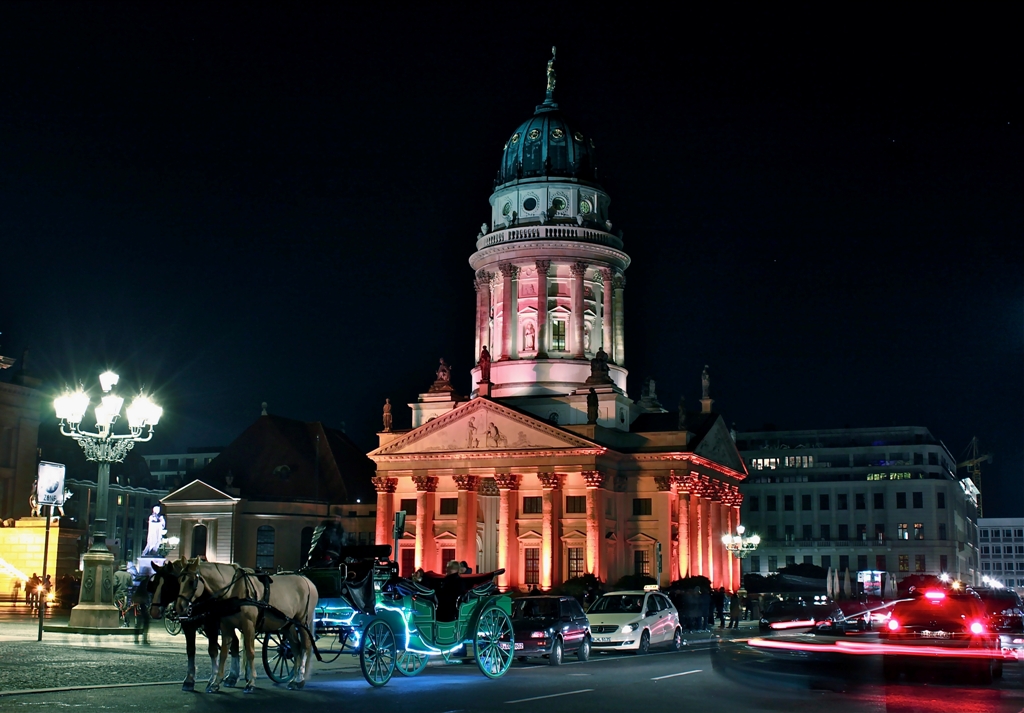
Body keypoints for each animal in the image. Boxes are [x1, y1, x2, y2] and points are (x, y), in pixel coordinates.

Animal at [174, 561, 315, 692]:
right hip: (287, 624)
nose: (178, 607)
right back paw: (294, 679)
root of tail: (307, 581)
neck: (234, 590)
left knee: (305, 647)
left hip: (302, 623)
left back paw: (299, 679)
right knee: (295, 648)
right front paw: (216, 683)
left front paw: (251, 682)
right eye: (179, 580)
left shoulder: (248, 625)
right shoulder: (226, 626)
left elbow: (250, 652)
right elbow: (224, 652)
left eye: (191, 582)